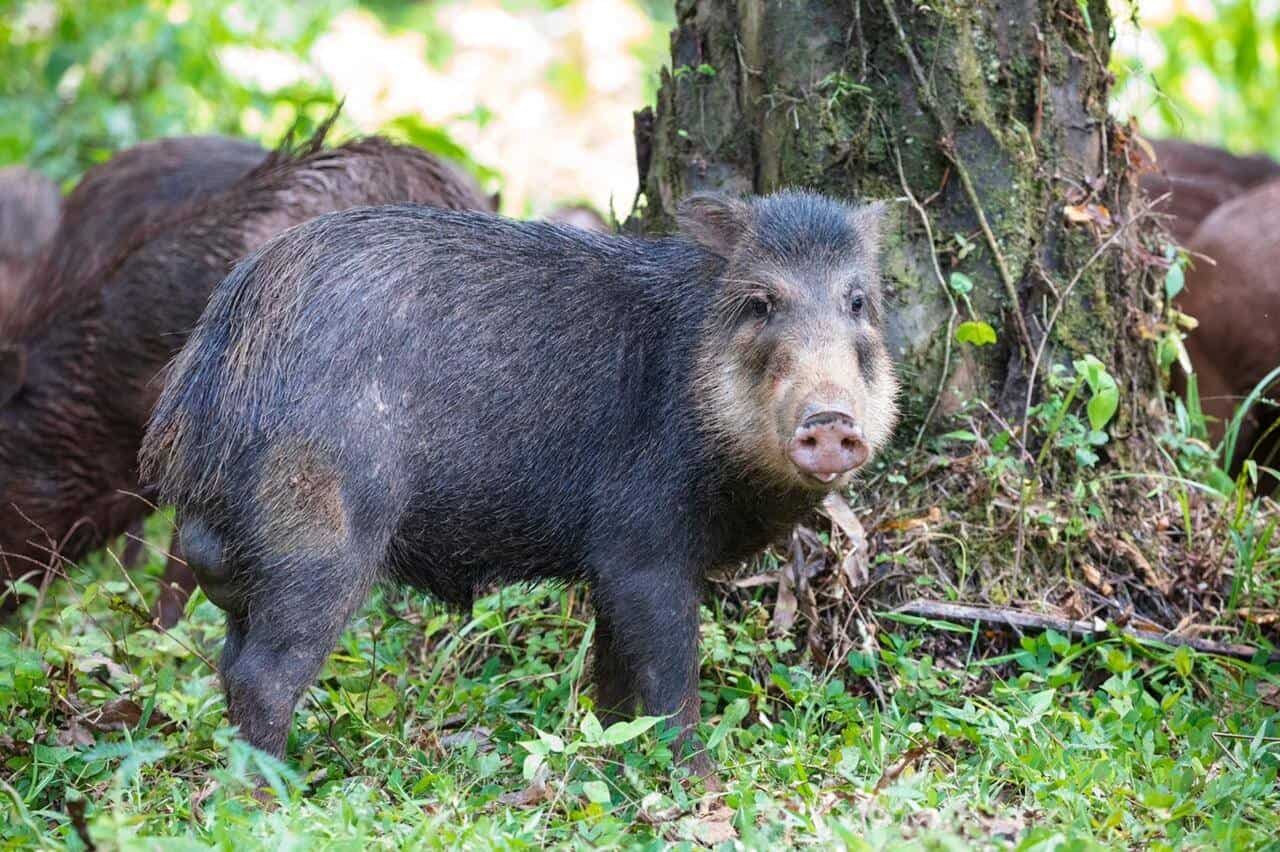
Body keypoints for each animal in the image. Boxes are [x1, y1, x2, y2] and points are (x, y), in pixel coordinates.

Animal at [140, 191, 900, 769]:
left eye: (858, 302)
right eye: (761, 302)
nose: (830, 419)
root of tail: (204, 378)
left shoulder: (609, 567)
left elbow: (614, 682)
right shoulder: (641, 549)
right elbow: (669, 681)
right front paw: (697, 782)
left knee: (228, 660)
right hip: (320, 532)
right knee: (262, 674)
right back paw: (274, 794)